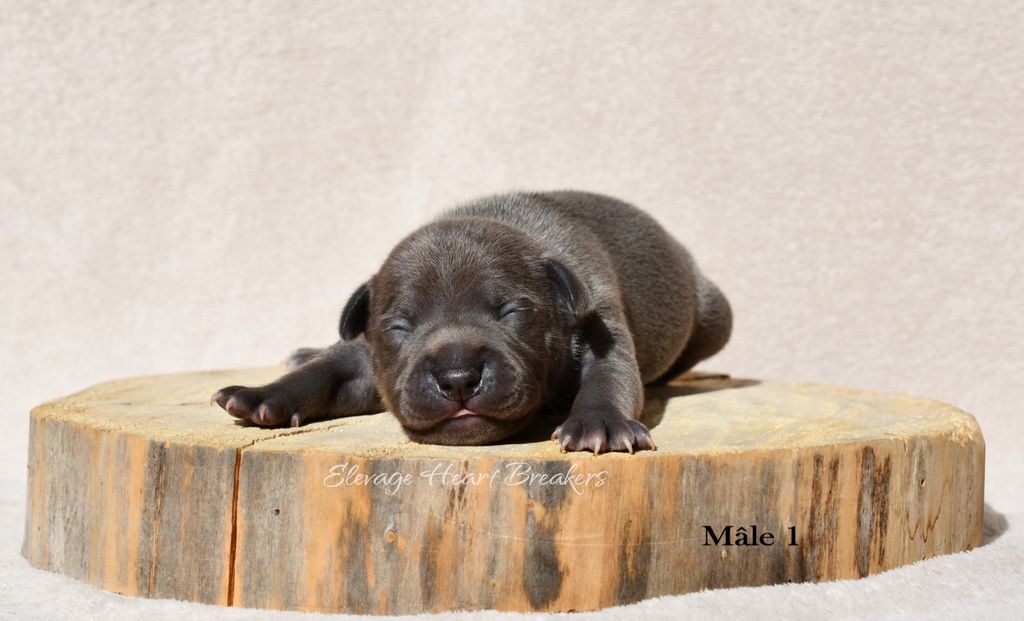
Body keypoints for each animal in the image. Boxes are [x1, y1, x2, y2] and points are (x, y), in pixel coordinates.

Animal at [211, 192, 733, 454]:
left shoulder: (601, 323)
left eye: (511, 313)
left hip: (716, 316)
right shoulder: (366, 352)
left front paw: (599, 424)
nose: (458, 377)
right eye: (400, 327)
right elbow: (324, 372)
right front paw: (261, 394)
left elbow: (610, 377)